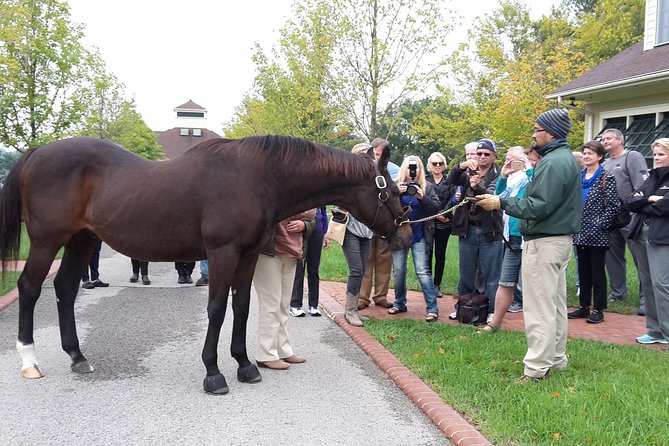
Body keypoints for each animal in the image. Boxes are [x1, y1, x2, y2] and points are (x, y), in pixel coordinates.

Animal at [0, 135, 410, 394]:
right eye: (390, 191)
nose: (406, 237)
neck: (256, 178)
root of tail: (37, 152)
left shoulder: (247, 255)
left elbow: (241, 307)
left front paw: (245, 365)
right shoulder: (221, 252)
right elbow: (216, 308)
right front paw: (213, 374)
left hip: (82, 240)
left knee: (66, 288)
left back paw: (77, 356)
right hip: (47, 241)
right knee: (29, 288)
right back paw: (29, 361)